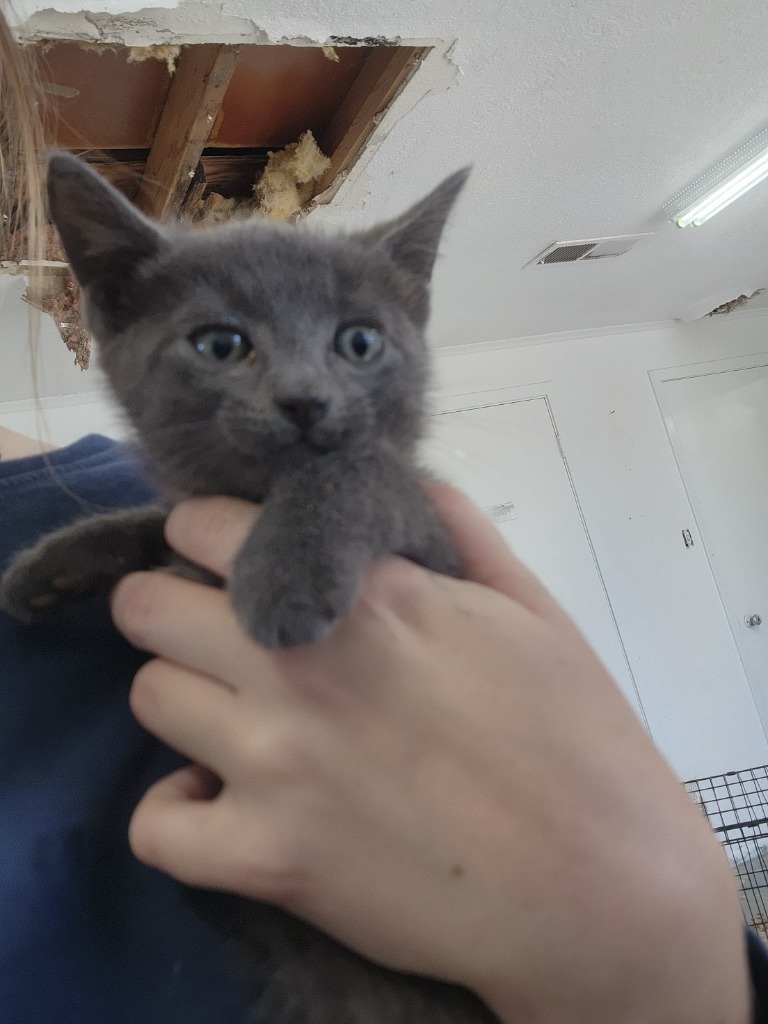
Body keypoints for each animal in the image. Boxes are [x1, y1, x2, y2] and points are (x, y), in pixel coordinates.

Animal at [0, 153, 499, 1024]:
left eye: (359, 341)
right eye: (222, 344)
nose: (305, 400)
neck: (254, 506)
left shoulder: (435, 544)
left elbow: (360, 468)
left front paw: (284, 578)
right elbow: (165, 520)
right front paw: (51, 565)